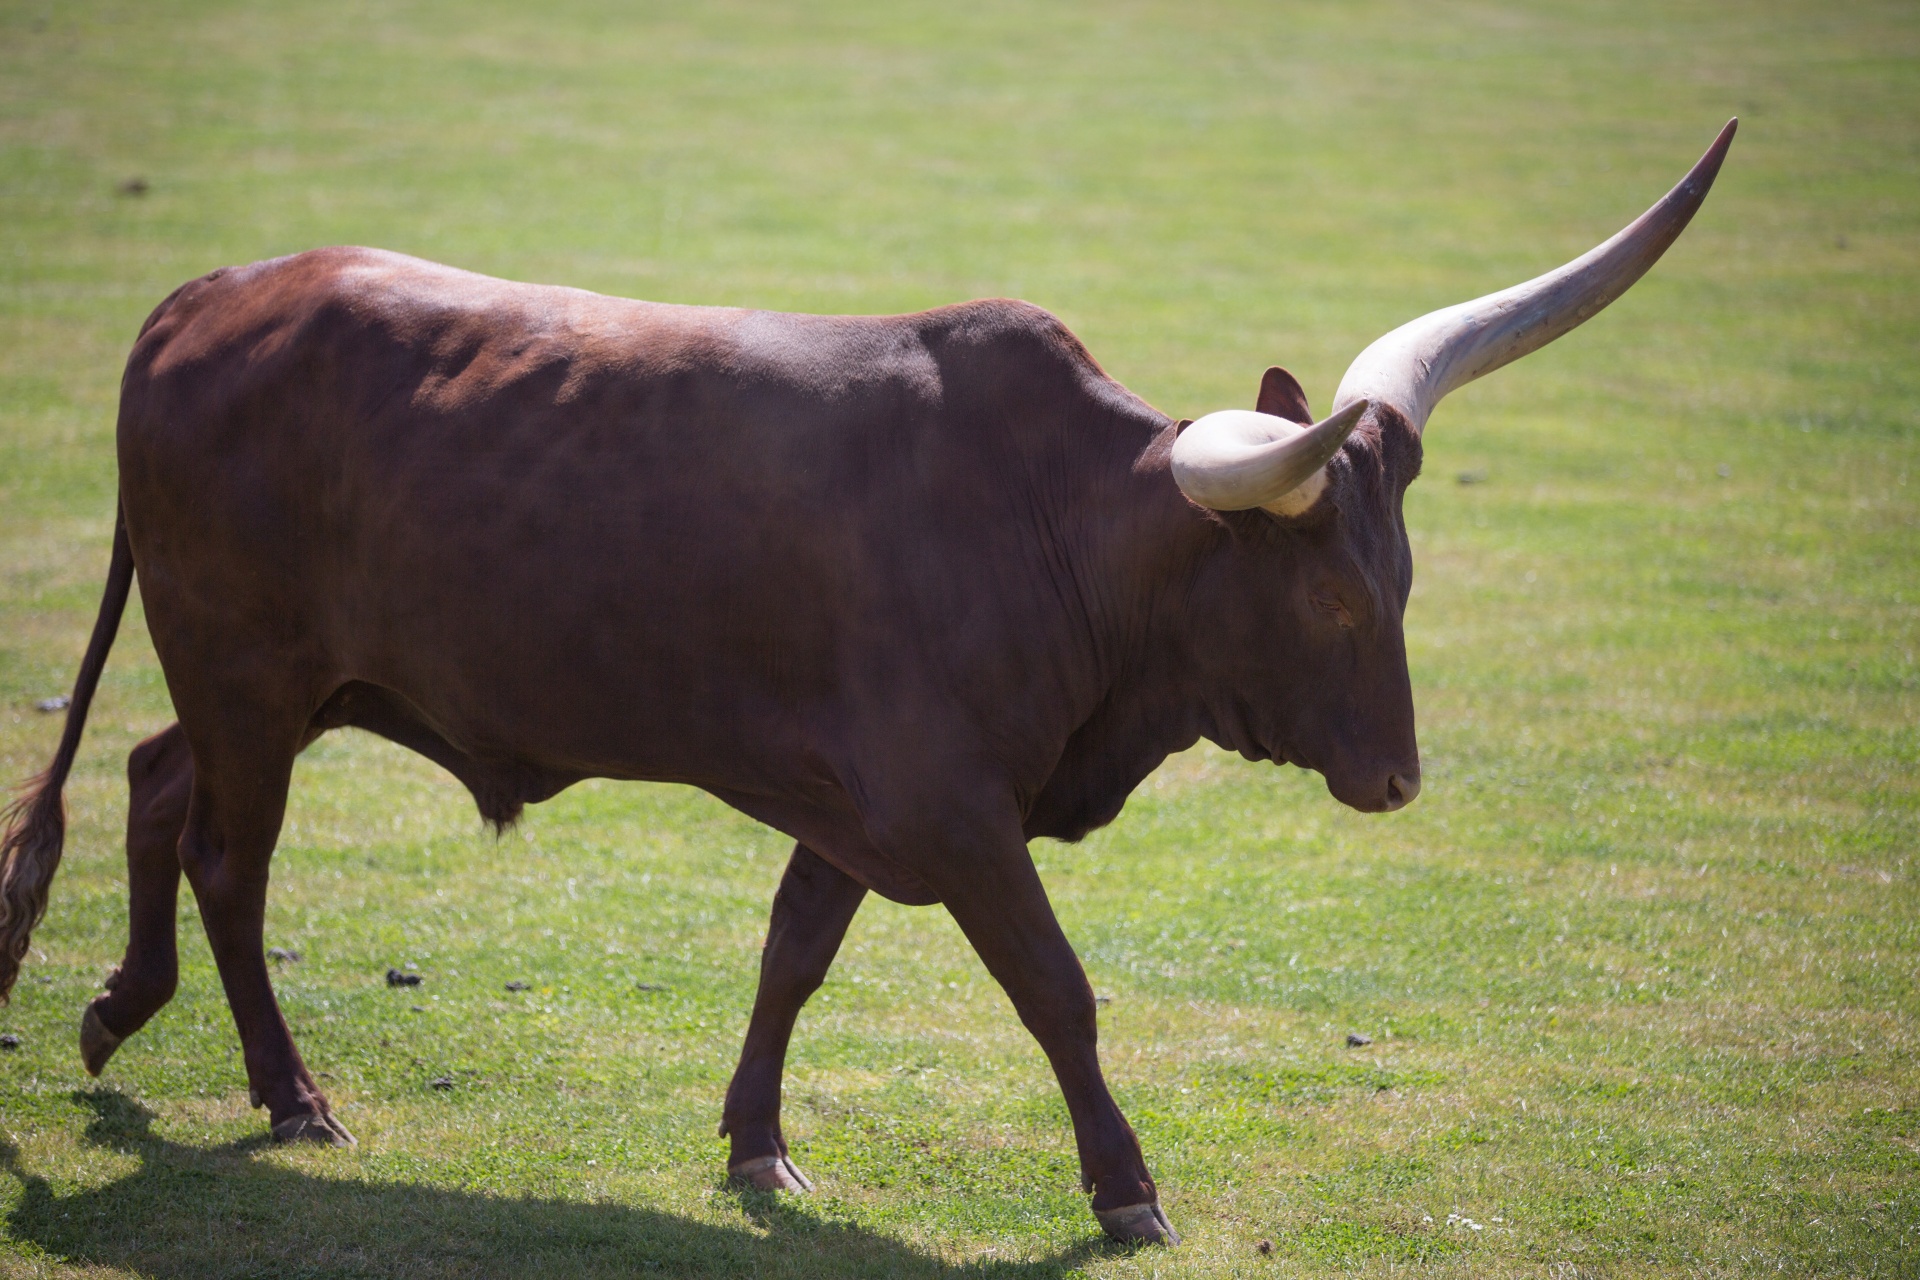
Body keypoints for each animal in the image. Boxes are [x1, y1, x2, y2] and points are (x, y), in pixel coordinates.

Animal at [0, 119, 1735, 1243]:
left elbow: (792, 956)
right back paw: (290, 1093)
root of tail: (212, 295)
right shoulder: (956, 813)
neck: (1049, 527)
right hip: (248, 673)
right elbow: (1057, 989)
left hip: (279, 684)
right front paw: (1126, 1187)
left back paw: (120, 1010)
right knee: (227, 854)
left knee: (154, 785)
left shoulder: (853, 807)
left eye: (1405, 578)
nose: (1395, 779)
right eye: (1325, 591)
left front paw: (756, 1147)